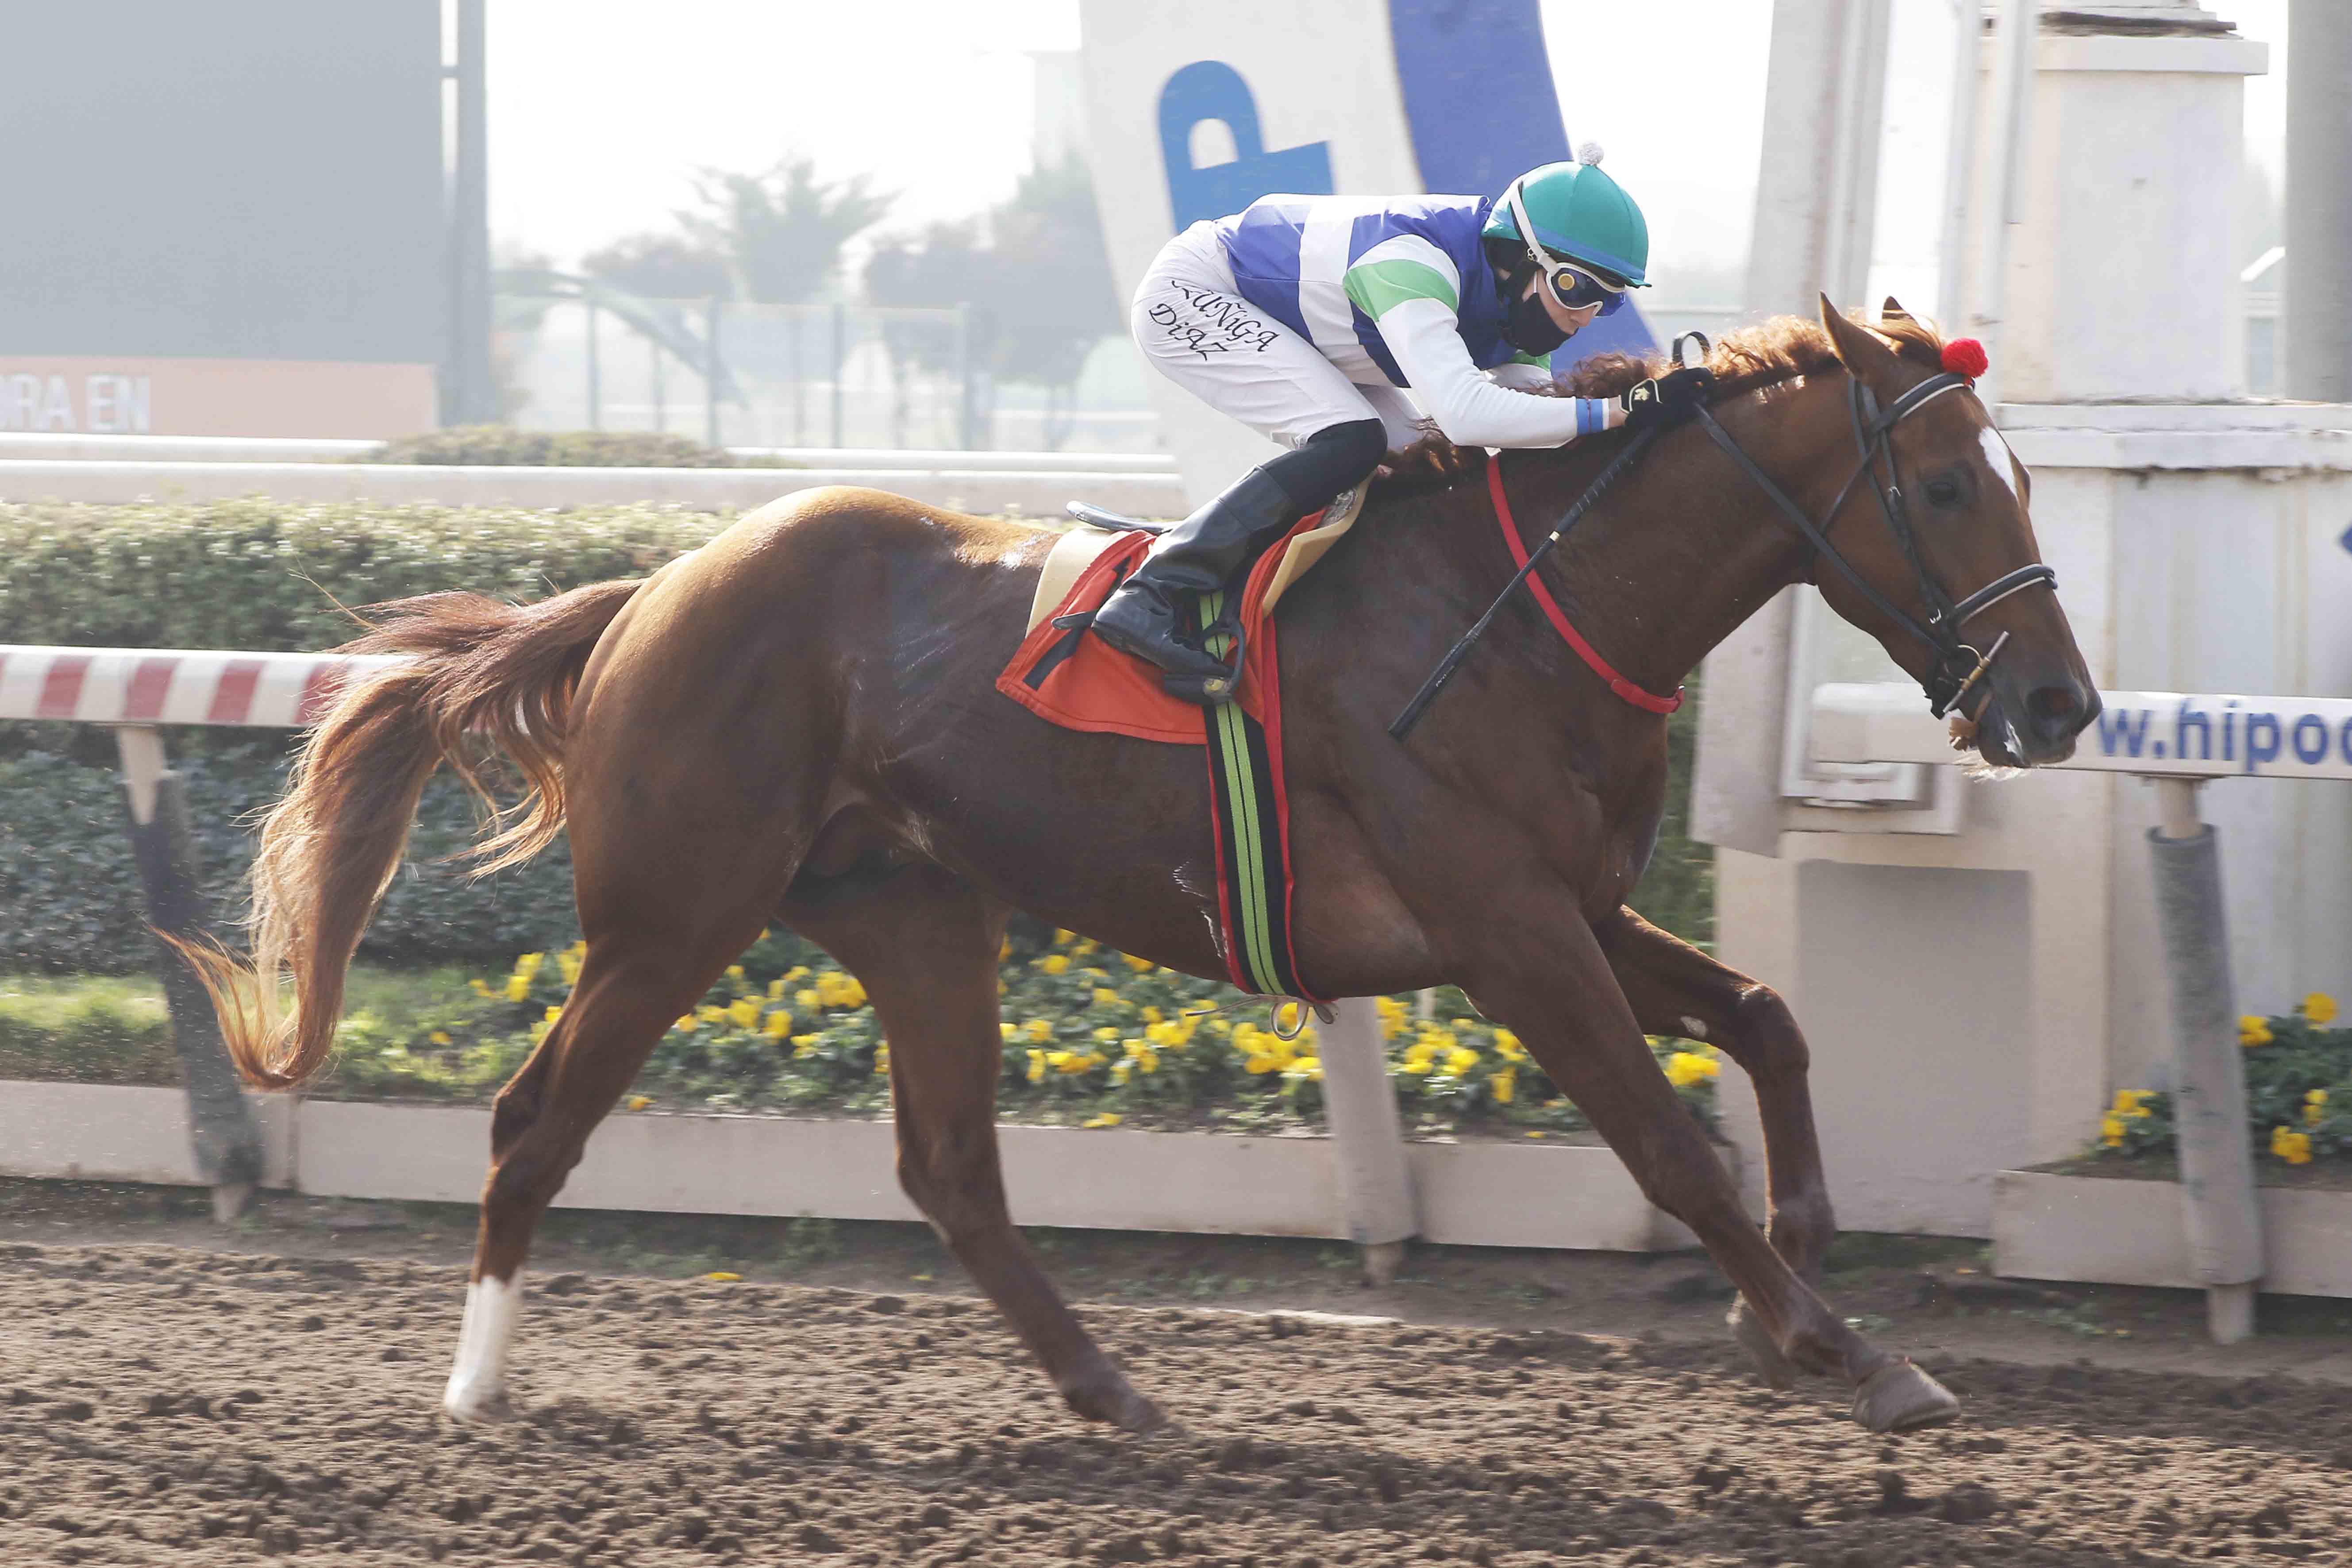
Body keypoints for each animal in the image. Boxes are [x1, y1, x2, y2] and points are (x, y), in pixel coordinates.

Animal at [190, 297, 2096, 1439]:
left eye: (2017, 477)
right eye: (1944, 484)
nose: (2057, 703)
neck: (1526, 609)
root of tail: (647, 593)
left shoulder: (1570, 905)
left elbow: (1764, 1013)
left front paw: (1807, 1260)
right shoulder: (1503, 930)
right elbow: (1664, 1144)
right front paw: (1850, 1352)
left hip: (913, 910)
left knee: (950, 1166)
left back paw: (1109, 1386)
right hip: (672, 920)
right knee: (534, 1124)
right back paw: (469, 1394)